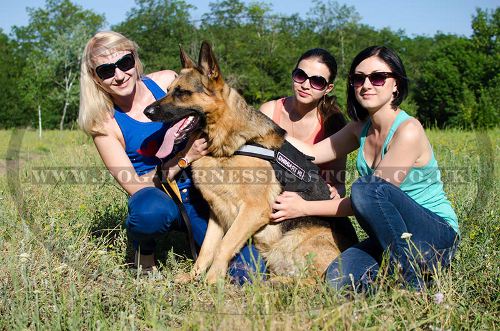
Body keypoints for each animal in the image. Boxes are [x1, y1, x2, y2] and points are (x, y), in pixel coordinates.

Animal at [143, 41, 358, 284]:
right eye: (168, 90)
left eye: (182, 93)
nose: (146, 111)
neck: (229, 146)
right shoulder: (217, 214)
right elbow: (207, 248)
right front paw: (194, 277)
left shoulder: (253, 210)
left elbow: (224, 246)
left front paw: (212, 281)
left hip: (299, 240)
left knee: (315, 282)